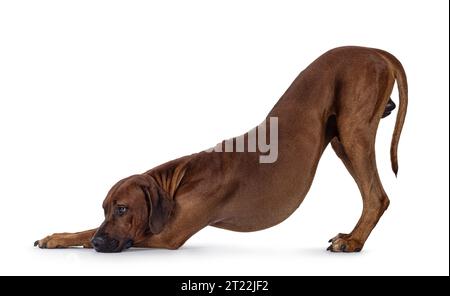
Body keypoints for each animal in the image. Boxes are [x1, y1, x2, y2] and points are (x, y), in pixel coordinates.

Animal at [34, 45, 408, 252]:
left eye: (122, 209)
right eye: (104, 208)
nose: (101, 243)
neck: (177, 181)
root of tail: (374, 50)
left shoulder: (166, 236)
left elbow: (96, 234)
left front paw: (73, 238)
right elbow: (83, 229)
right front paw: (56, 237)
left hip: (352, 129)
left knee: (376, 196)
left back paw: (354, 241)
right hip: (341, 137)